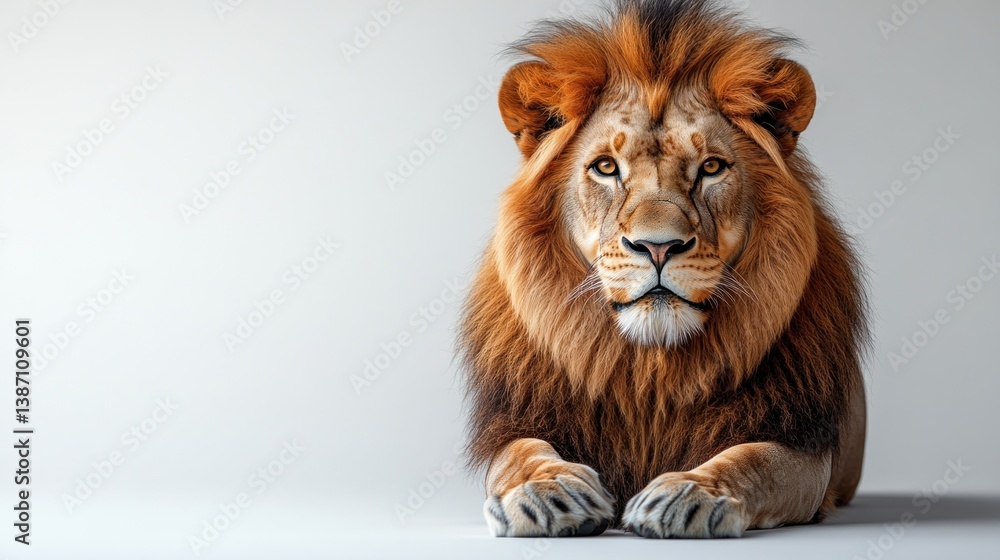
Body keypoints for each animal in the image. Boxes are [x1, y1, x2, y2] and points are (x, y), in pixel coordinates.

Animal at [459, 0, 868, 539]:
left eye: (711, 167)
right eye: (606, 168)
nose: (657, 246)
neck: (651, 372)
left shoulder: (802, 445)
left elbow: (751, 461)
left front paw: (689, 494)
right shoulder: (520, 420)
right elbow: (521, 455)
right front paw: (547, 491)